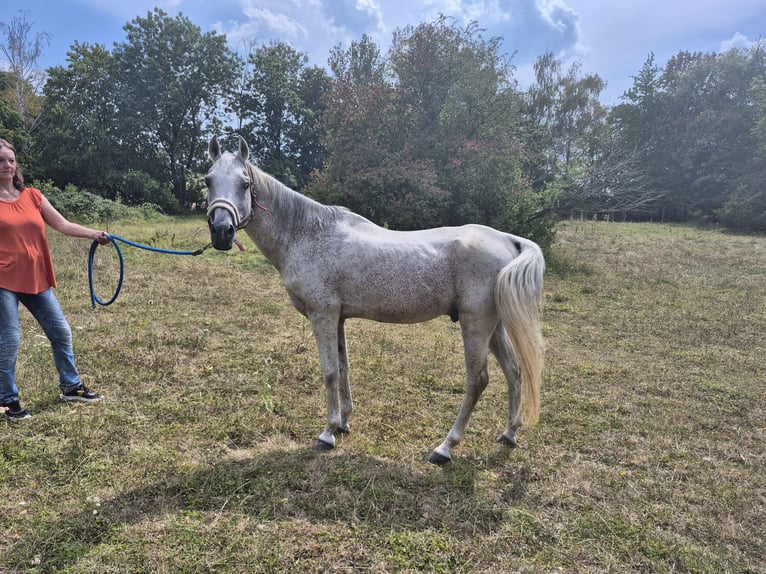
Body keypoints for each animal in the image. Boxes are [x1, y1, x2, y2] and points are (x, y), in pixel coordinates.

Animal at [205, 135, 545, 465]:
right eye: (208, 180)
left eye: (244, 184)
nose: (222, 232)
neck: (306, 234)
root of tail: (507, 239)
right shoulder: (338, 318)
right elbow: (343, 369)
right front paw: (343, 423)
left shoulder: (322, 315)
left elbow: (329, 373)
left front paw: (327, 433)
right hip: (493, 327)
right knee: (514, 372)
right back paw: (509, 433)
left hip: (475, 325)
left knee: (478, 381)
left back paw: (445, 448)